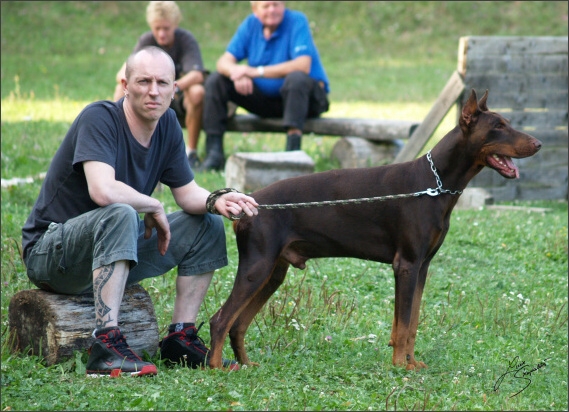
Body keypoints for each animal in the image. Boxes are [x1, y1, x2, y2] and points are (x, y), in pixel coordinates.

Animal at [207, 89, 540, 370]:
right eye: (498, 126)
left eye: (507, 122)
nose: (538, 144)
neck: (436, 184)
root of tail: (248, 205)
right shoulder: (406, 264)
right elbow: (404, 324)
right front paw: (400, 367)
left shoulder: (422, 267)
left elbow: (411, 322)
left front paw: (411, 363)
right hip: (257, 267)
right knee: (220, 319)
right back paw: (215, 367)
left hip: (274, 272)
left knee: (238, 324)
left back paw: (246, 365)